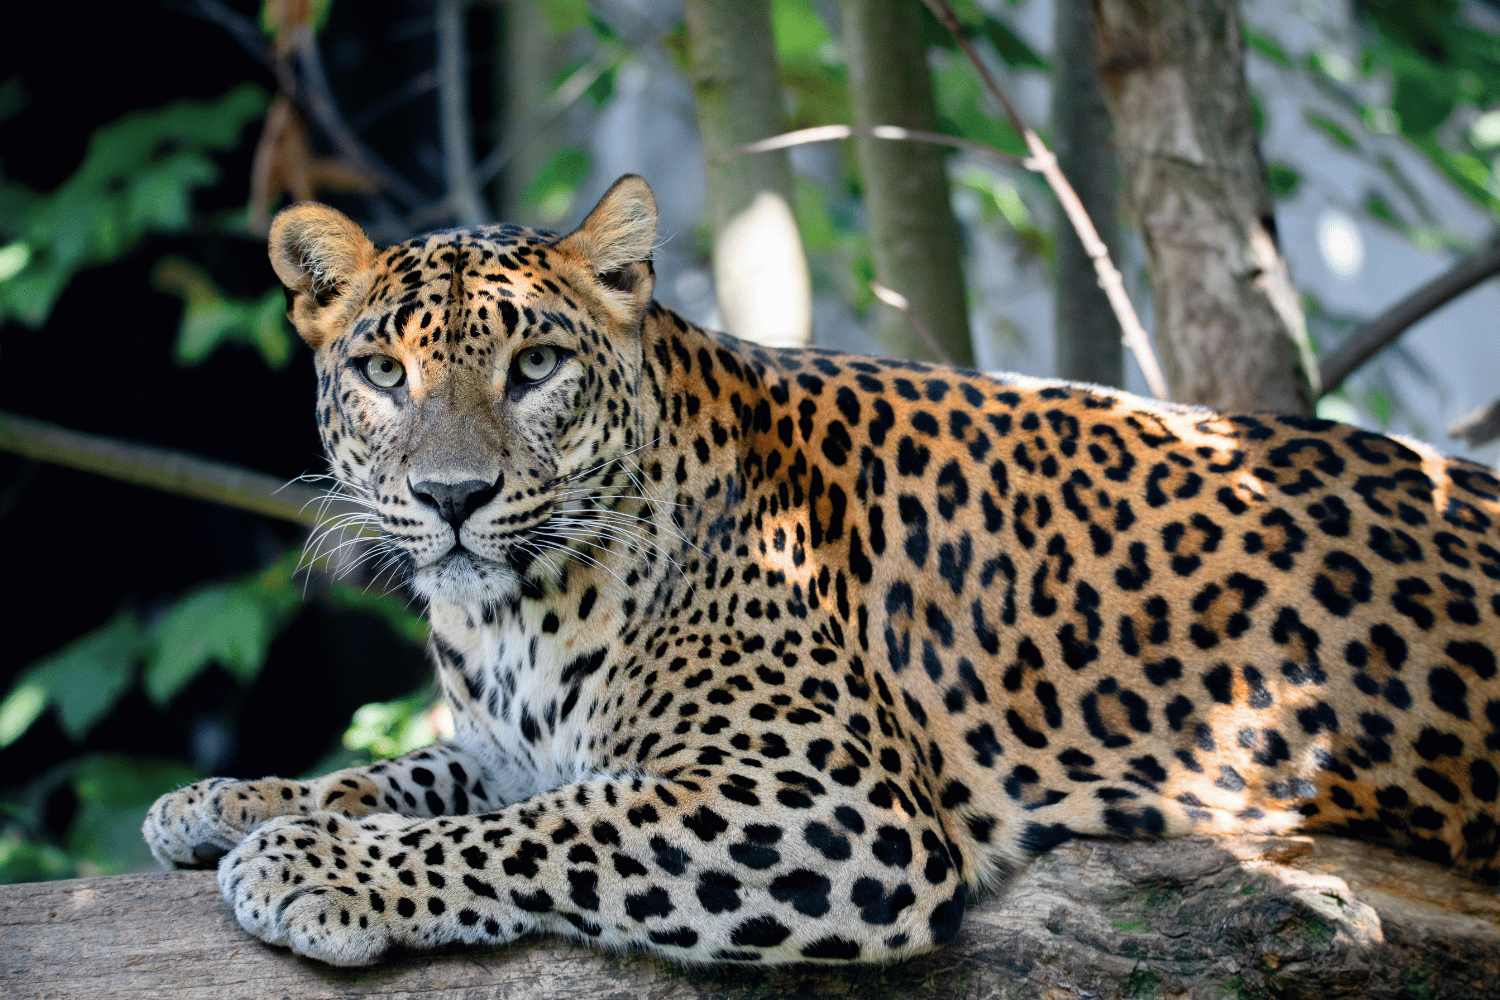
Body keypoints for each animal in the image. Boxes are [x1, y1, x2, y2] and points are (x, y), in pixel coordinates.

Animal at [144, 175, 1500, 968]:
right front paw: (232, 801)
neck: (517, 615)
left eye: (535, 367)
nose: (453, 499)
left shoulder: (830, 800)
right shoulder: (506, 742)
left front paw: (315, 867)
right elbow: (408, 776)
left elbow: (545, 826)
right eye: (383, 374)